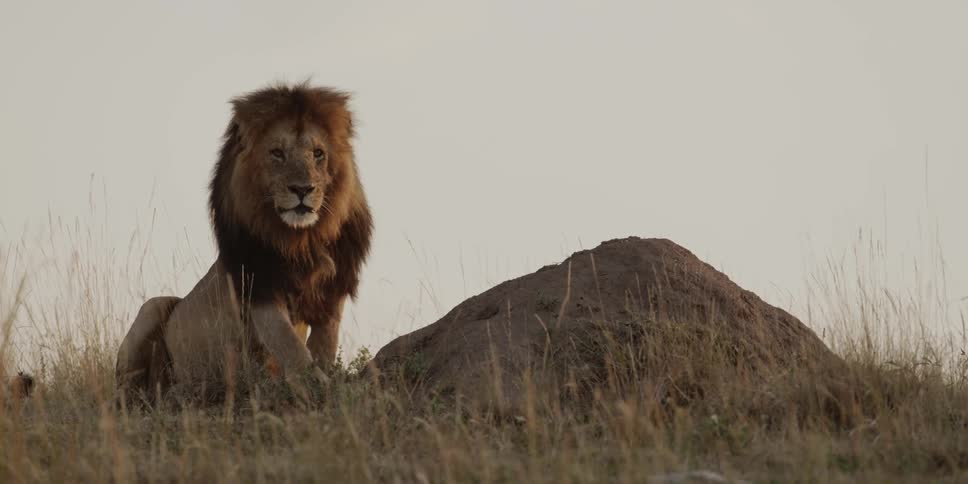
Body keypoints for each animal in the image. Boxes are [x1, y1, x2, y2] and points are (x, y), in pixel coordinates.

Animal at [116, 83, 373, 400]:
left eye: (318, 153)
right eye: (277, 153)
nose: (302, 189)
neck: (302, 240)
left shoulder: (332, 291)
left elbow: (324, 345)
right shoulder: (258, 288)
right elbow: (289, 343)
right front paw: (316, 385)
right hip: (154, 307)